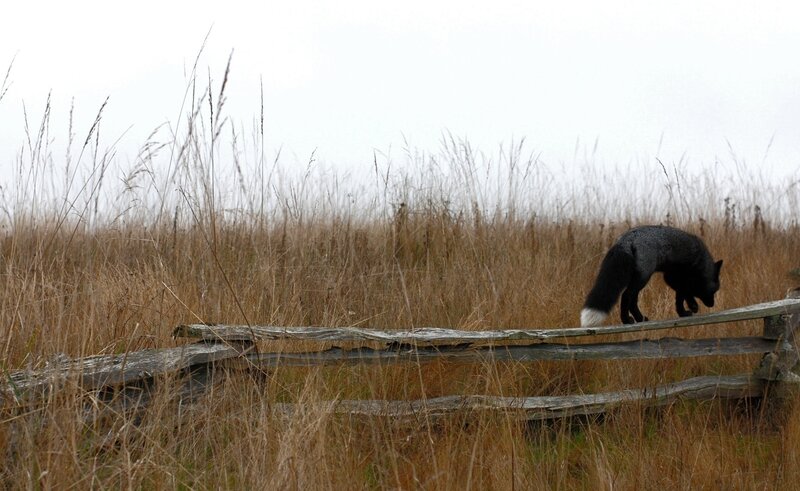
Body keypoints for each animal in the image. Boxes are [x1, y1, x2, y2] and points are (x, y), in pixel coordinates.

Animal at [580, 225, 723, 327]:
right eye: (714, 291)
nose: (712, 304)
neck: (701, 261)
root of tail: (627, 238)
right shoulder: (679, 278)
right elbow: (683, 294)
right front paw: (689, 308)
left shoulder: (671, 278)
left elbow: (681, 296)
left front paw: (685, 310)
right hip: (643, 277)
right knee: (626, 296)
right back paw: (626, 320)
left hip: (638, 279)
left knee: (633, 300)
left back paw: (640, 318)